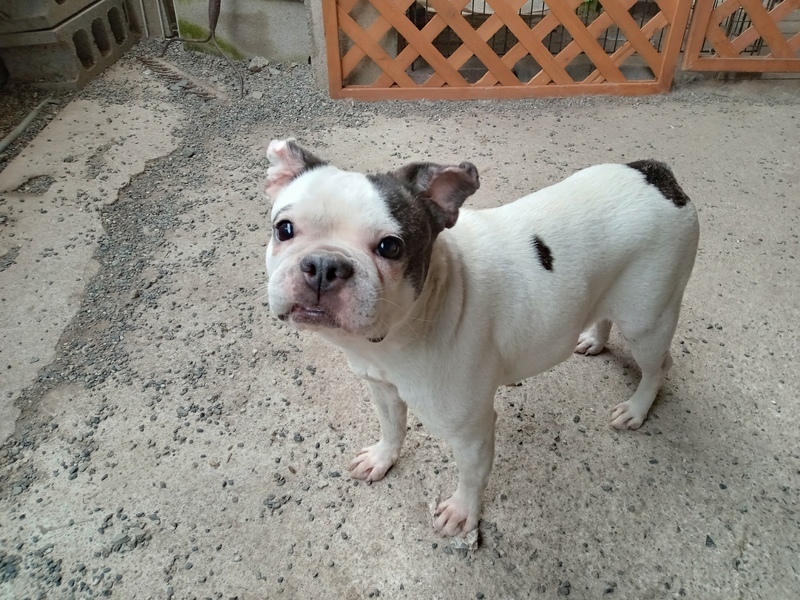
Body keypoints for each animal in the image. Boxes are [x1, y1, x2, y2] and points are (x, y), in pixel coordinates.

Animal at [264, 139, 699, 537]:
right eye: (283, 229)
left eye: (390, 246)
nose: (324, 265)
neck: (396, 336)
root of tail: (657, 175)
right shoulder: (382, 390)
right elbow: (392, 427)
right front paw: (383, 458)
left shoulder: (470, 430)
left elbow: (472, 476)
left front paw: (462, 512)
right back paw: (593, 339)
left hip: (647, 321)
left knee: (659, 365)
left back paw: (637, 409)